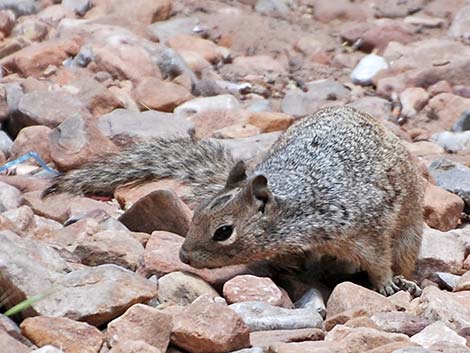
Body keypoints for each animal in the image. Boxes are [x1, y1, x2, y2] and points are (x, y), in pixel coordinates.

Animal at [45, 106, 426, 296]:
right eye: (195, 214)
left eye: (223, 232)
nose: (183, 256)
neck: (298, 207)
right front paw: (283, 268)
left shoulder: (366, 232)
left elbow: (378, 262)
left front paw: (386, 285)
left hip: (409, 234)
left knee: (404, 256)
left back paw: (405, 281)